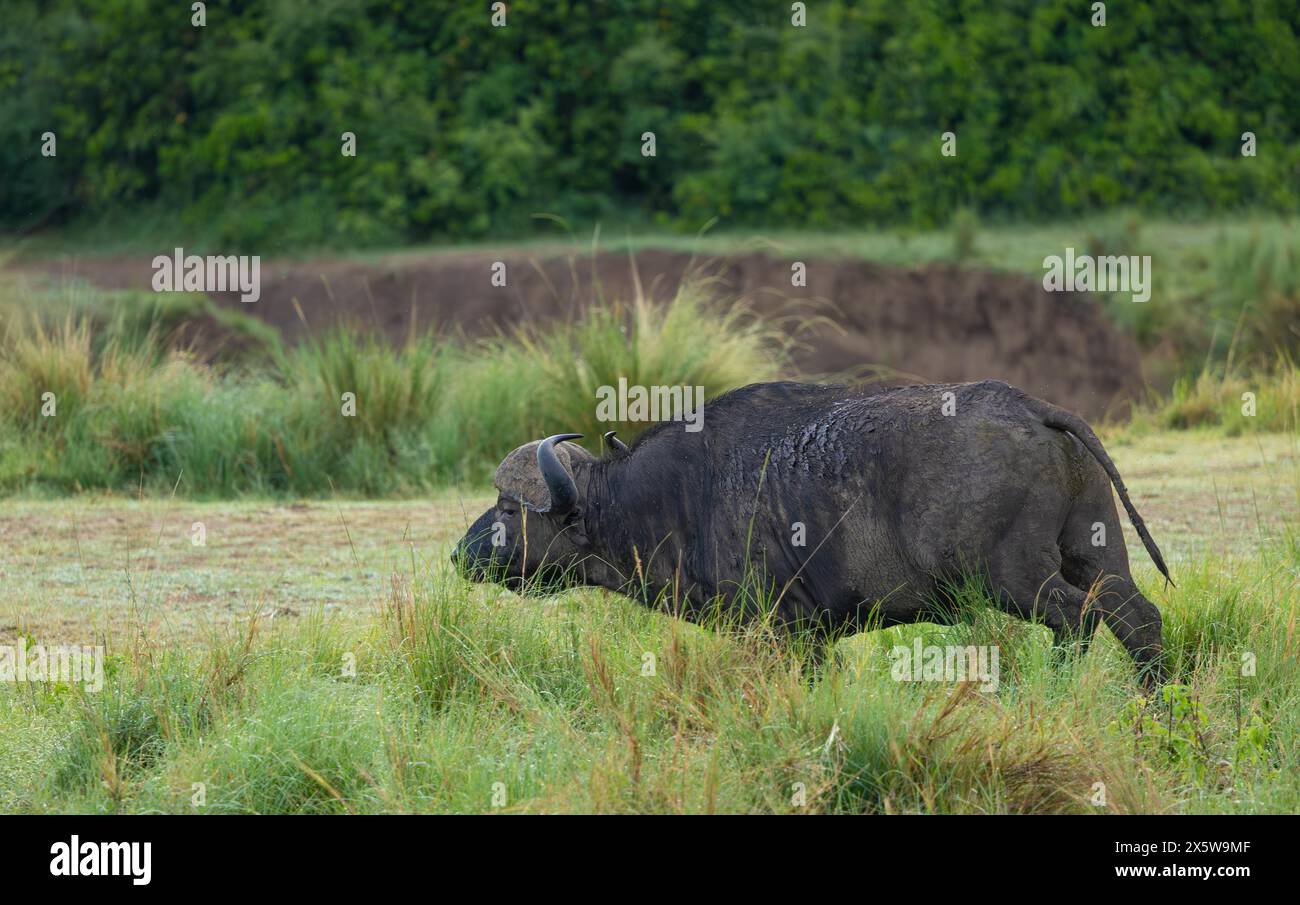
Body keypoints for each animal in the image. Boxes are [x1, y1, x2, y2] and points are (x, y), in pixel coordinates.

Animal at [452, 377, 1175, 681]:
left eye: (509, 507)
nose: (461, 553)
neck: (679, 495)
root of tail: (1030, 408)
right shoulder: (812, 638)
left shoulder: (779, 631)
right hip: (1096, 554)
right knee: (1136, 617)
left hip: (1014, 578)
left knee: (1078, 620)